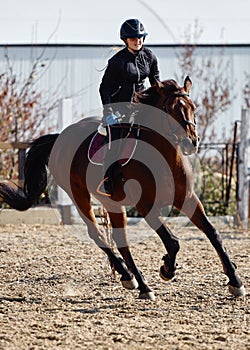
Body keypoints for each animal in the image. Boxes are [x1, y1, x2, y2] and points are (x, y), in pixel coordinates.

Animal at [0, 77, 246, 300]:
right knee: (99, 234)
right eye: (169, 109)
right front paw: (167, 269)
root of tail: (60, 138)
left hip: (111, 202)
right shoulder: (146, 206)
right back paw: (138, 283)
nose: (190, 143)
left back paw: (131, 278)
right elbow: (172, 241)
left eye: (193, 107)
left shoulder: (187, 198)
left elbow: (213, 234)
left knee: (120, 241)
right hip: (79, 195)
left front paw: (235, 281)